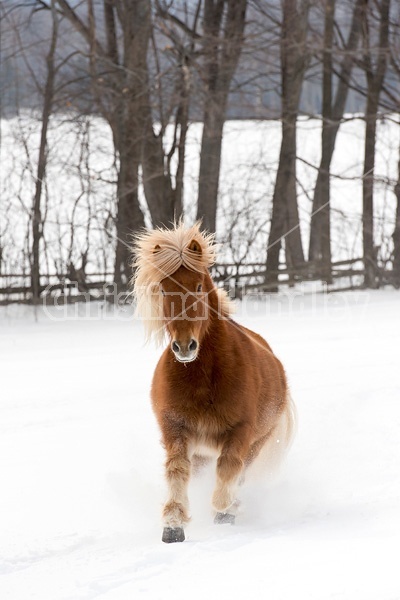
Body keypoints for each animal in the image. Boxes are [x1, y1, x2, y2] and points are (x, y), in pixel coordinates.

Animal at [133, 223, 296, 540]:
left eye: (197, 286)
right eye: (163, 288)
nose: (185, 347)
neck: (201, 378)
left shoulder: (240, 431)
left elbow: (229, 468)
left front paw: (225, 508)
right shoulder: (175, 429)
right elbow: (177, 470)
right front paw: (173, 524)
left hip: (257, 443)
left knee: (240, 471)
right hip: (201, 452)